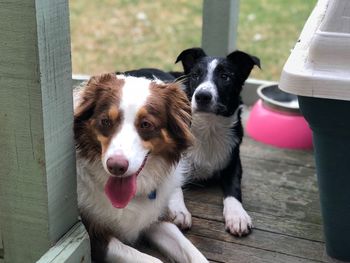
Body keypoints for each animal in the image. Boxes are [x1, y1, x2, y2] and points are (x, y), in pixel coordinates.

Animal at [72, 73, 206, 263]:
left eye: (146, 124)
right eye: (105, 121)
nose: (116, 166)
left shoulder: (155, 218)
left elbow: (191, 250)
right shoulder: (94, 237)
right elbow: (154, 260)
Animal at [168, 47, 262, 237]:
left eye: (225, 76)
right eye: (195, 75)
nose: (202, 96)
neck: (208, 128)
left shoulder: (234, 162)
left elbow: (234, 188)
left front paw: (237, 215)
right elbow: (174, 184)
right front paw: (178, 210)